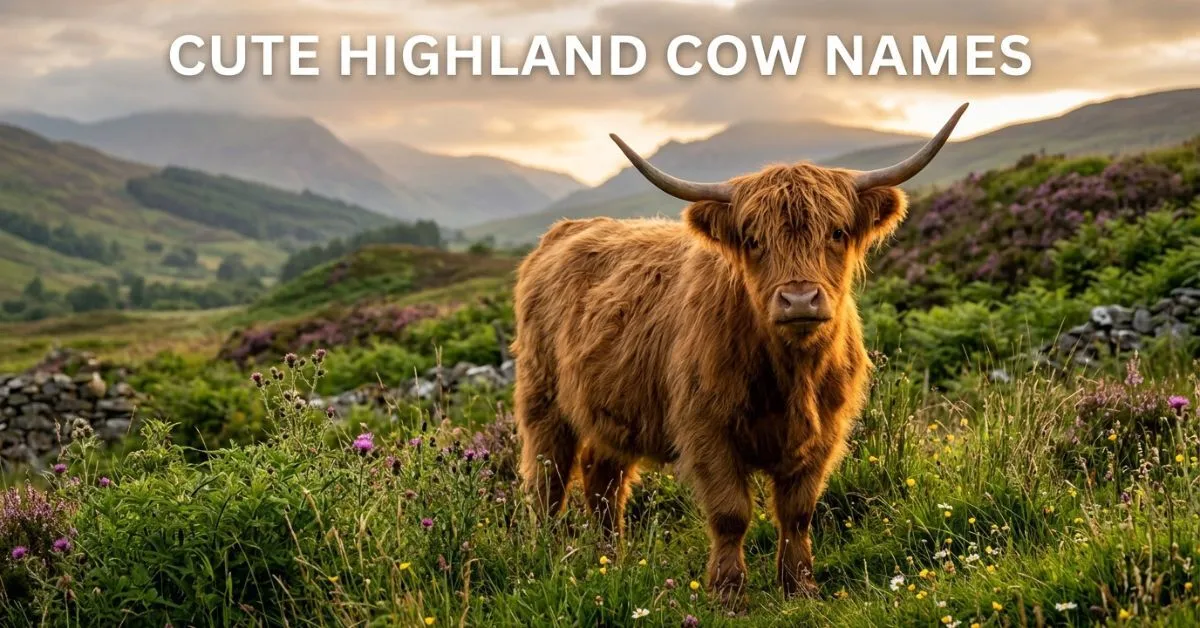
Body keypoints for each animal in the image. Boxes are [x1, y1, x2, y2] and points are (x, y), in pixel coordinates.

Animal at [511, 104, 967, 603]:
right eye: (753, 240)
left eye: (837, 232)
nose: (800, 300)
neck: (791, 373)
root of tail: (565, 231)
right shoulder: (707, 430)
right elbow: (731, 513)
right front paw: (728, 594)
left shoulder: (824, 434)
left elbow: (798, 512)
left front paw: (800, 586)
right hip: (542, 399)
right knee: (546, 481)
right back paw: (545, 556)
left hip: (612, 409)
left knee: (602, 479)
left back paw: (611, 560)